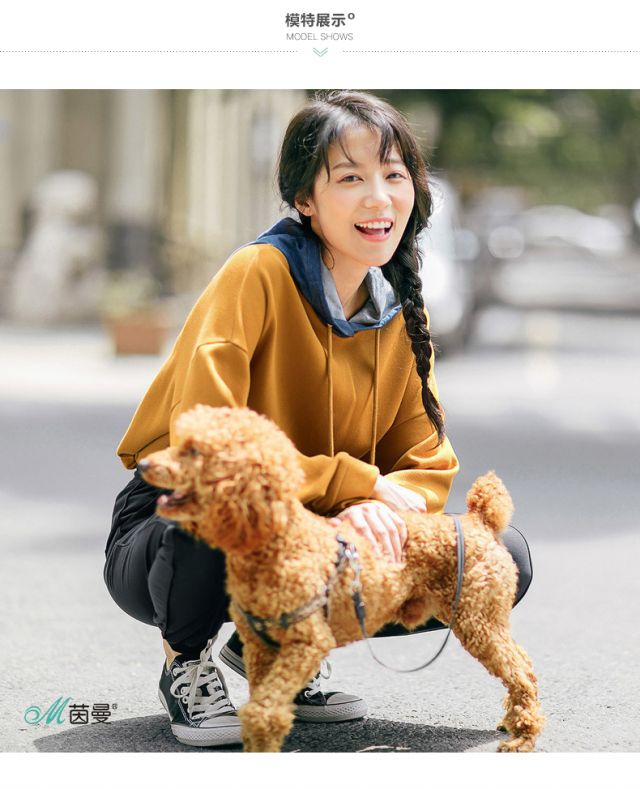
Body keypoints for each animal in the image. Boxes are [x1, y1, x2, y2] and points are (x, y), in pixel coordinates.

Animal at [139, 404, 544, 752]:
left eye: (193, 450)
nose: (142, 463)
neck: (277, 541)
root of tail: (479, 520)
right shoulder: (261, 646)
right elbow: (263, 706)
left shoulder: (306, 642)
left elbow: (263, 712)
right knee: (522, 663)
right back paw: (513, 721)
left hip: (477, 617)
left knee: (520, 669)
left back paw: (522, 735)